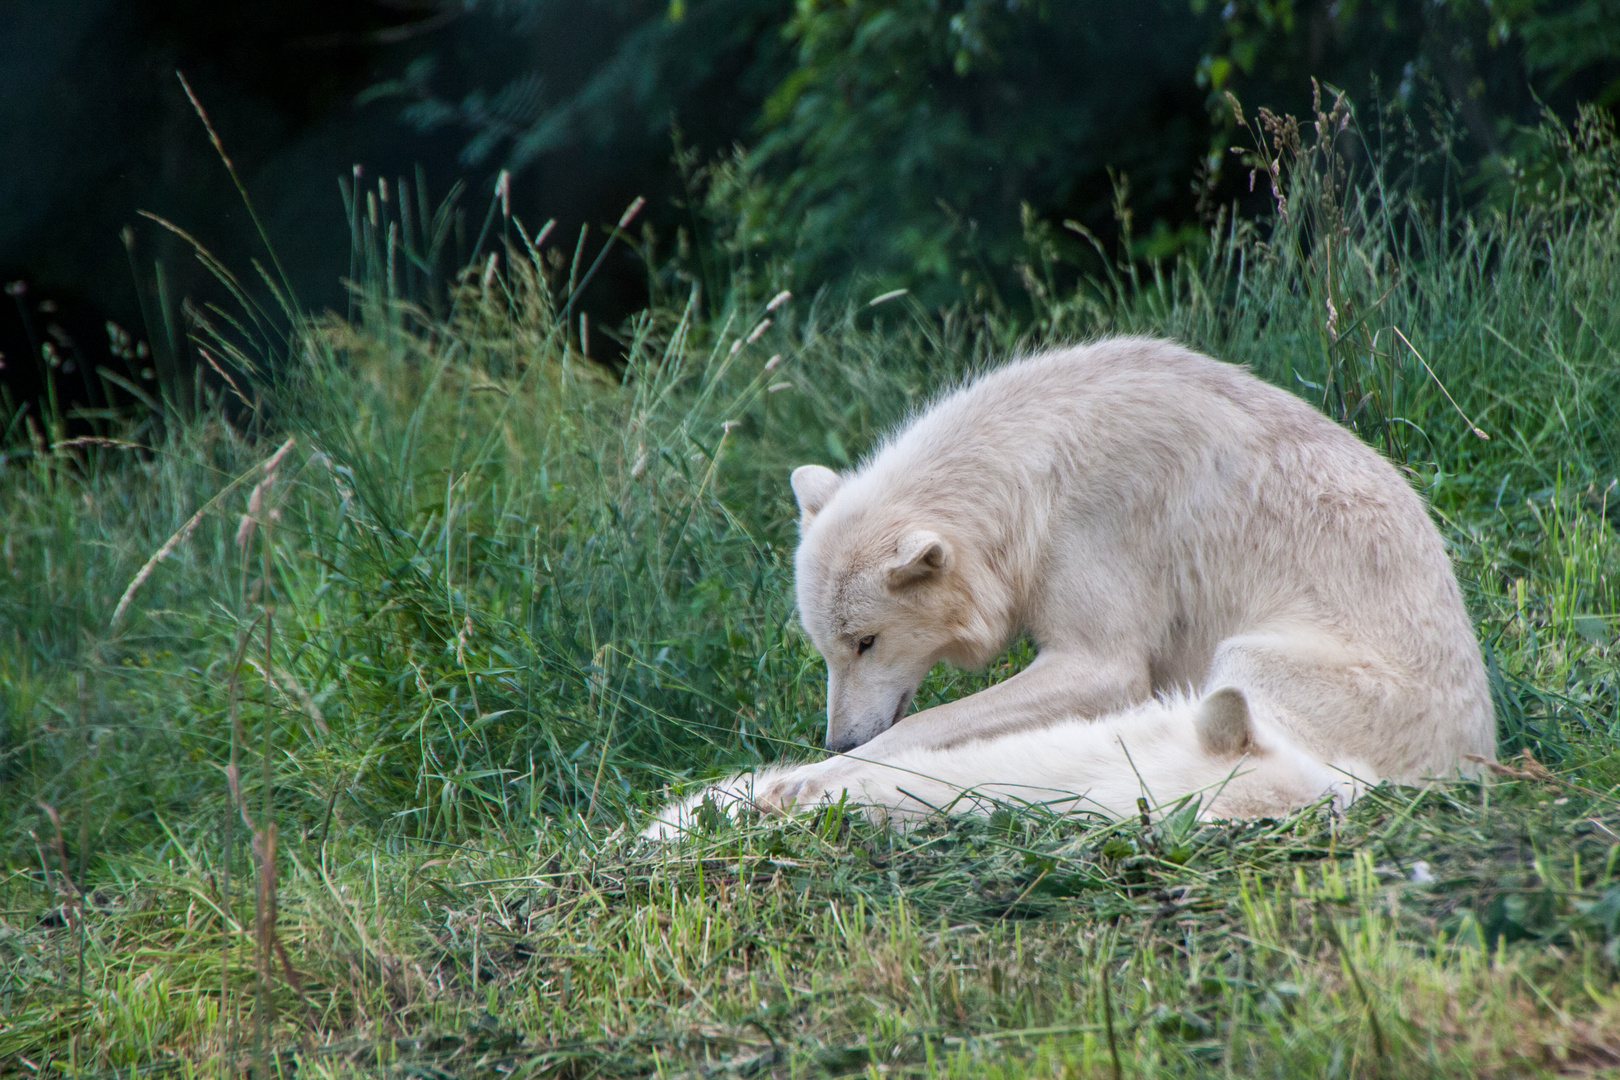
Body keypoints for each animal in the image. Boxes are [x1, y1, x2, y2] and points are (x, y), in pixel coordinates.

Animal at [644, 338, 1490, 835]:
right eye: (828, 650)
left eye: (867, 642)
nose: (837, 740)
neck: (1034, 480)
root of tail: (1483, 760)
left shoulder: (1100, 659)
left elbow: (926, 728)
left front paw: (819, 778)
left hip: (1247, 660)